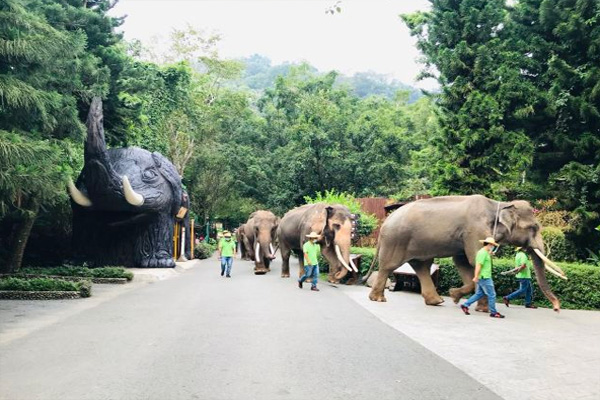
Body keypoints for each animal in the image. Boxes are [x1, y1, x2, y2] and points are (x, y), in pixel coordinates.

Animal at [67, 95, 188, 268]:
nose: (98, 96)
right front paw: (77, 262)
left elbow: (160, 221)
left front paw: (160, 263)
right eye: (83, 177)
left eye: (150, 174)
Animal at [366, 195, 568, 310]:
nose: (557, 308)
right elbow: (472, 259)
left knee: (422, 266)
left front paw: (457, 297)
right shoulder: (474, 231)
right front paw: (477, 306)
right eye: (534, 228)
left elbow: (463, 262)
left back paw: (437, 301)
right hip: (396, 240)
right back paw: (378, 299)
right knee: (389, 266)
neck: (498, 205)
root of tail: (386, 220)